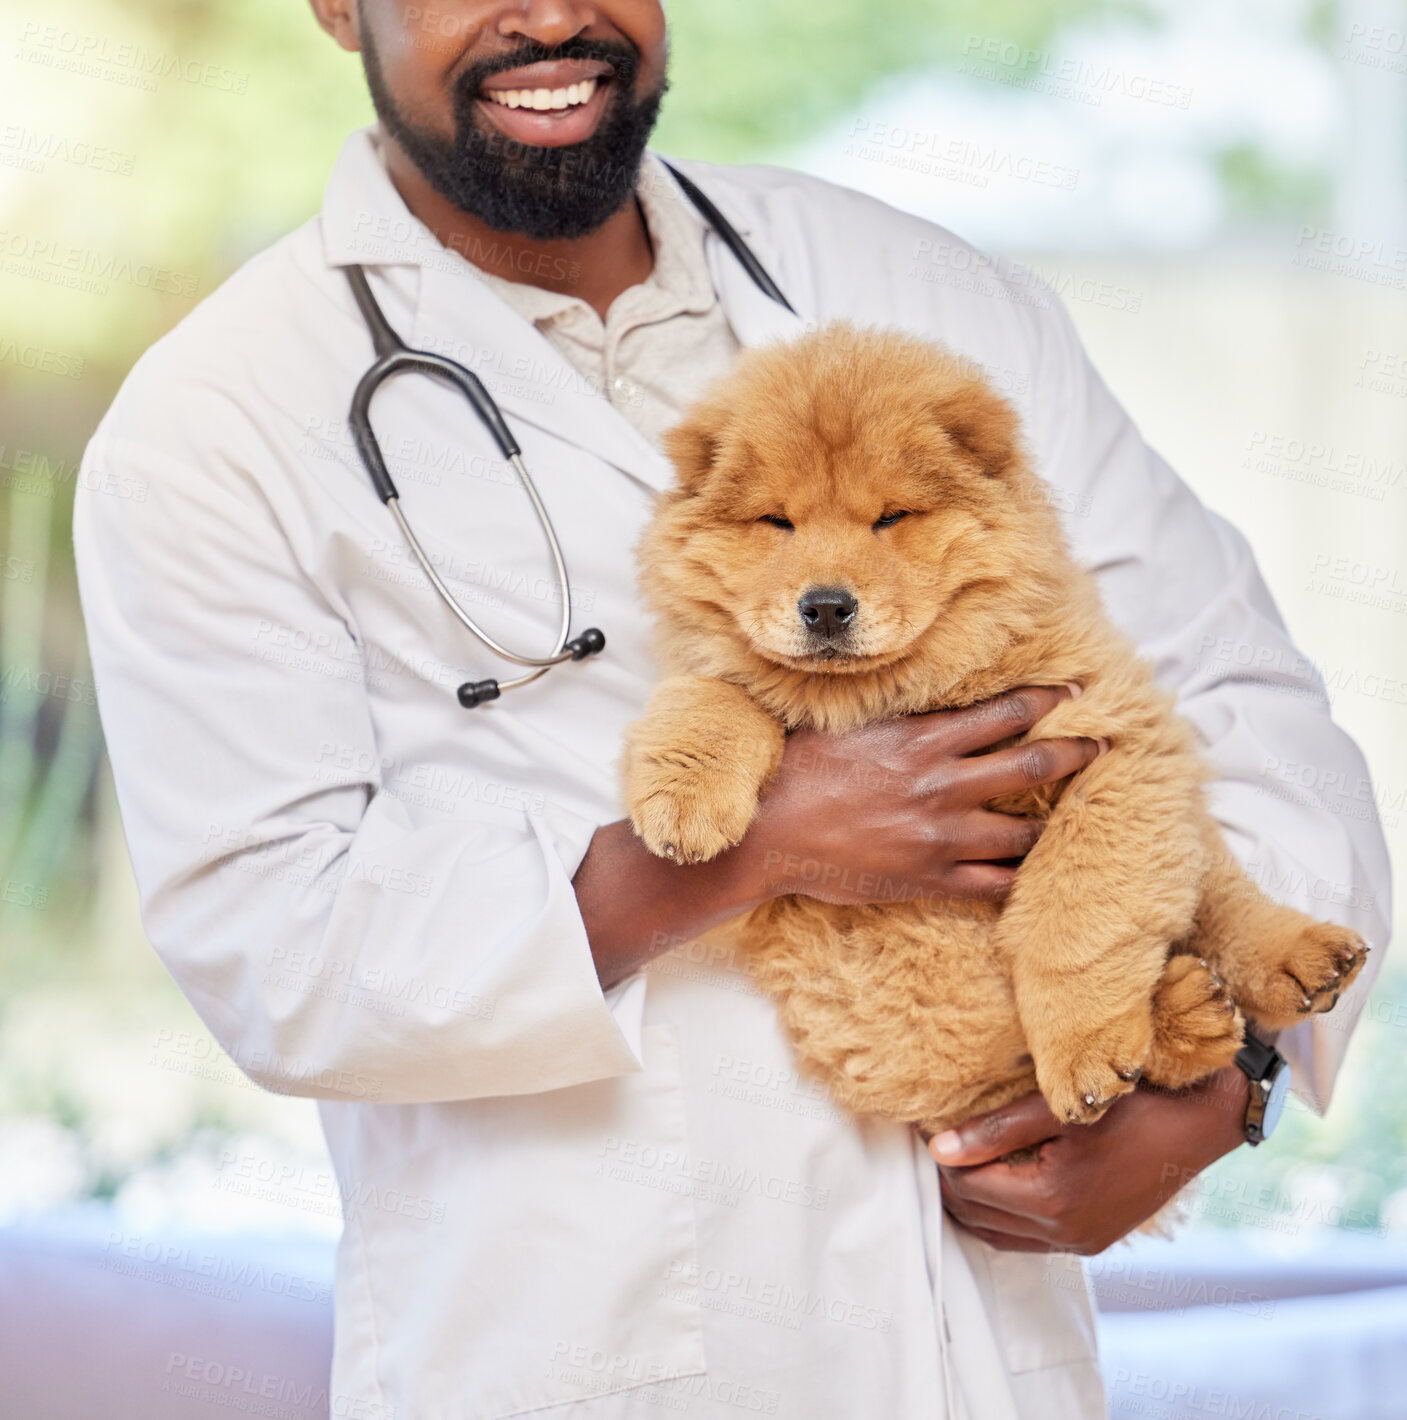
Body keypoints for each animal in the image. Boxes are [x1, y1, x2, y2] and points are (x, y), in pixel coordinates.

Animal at [621, 325, 1368, 1141]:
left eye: (891, 518)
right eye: (777, 523)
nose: (824, 607)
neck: (886, 690)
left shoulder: (1113, 741)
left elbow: (1071, 912)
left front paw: (1084, 1050)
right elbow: (715, 696)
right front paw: (683, 805)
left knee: (1218, 898)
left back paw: (1295, 962)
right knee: (996, 1064)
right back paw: (1188, 1014)